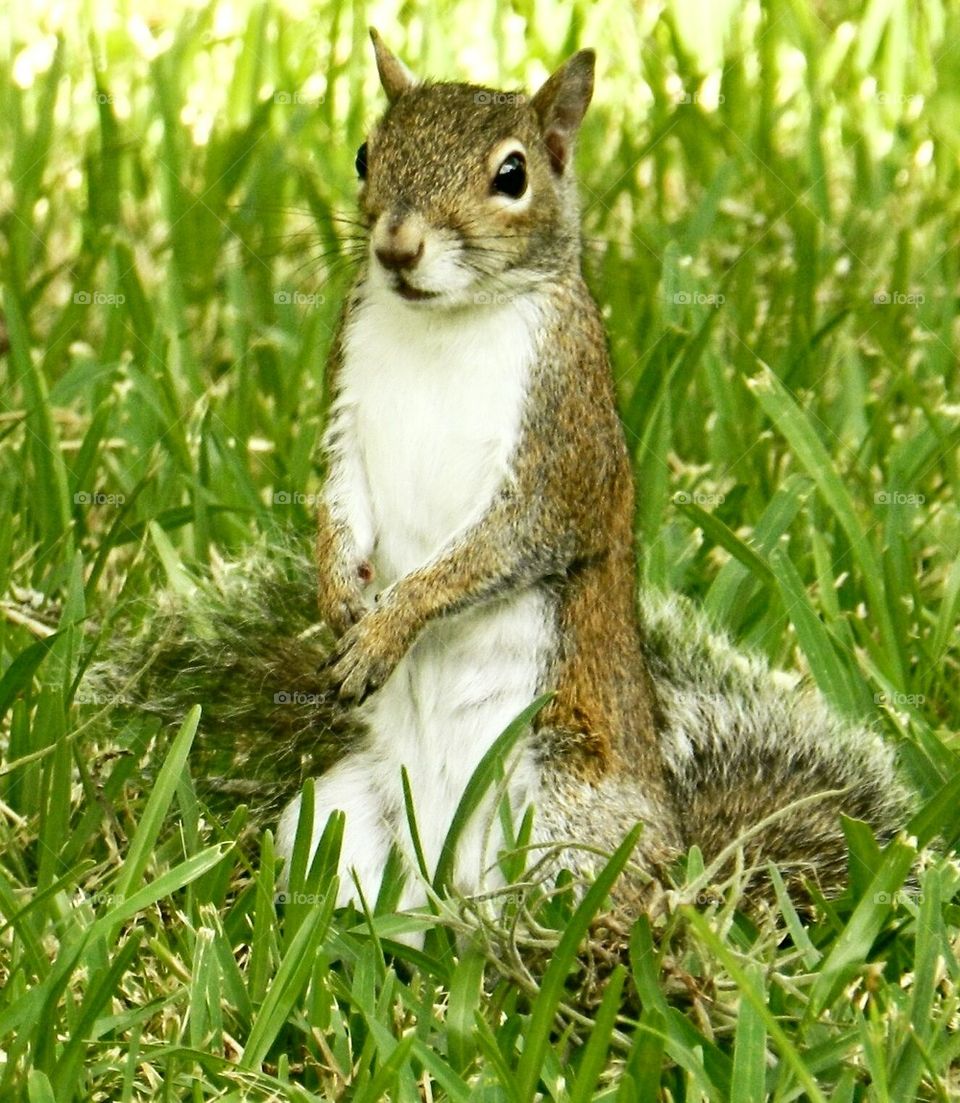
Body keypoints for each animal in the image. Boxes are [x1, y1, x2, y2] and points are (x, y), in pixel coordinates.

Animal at [92, 32, 918, 913]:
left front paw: (387, 625)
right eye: (364, 153)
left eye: (513, 175)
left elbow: (501, 544)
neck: (444, 321)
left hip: (575, 820)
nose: (397, 247)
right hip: (337, 819)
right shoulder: (349, 411)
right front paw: (337, 589)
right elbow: (341, 495)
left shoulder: (561, 443)